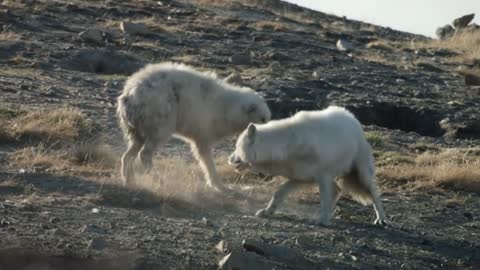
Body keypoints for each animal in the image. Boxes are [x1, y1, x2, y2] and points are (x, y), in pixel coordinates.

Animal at [117, 62, 270, 191]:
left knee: (129, 152)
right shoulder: (205, 128)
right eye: (262, 119)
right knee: (146, 151)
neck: (227, 107)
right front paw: (220, 186)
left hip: (136, 125)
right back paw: (159, 179)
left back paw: (129, 179)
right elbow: (206, 157)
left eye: (267, 119)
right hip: (159, 114)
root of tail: (129, 94)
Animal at [228, 105, 386, 226]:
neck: (286, 146)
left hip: (361, 174)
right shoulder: (300, 178)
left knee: (374, 193)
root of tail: (352, 118)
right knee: (338, 191)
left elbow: (324, 200)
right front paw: (267, 211)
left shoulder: (323, 177)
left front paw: (322, 221)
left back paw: (381, 219)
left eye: (236, 147)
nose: (229, 159)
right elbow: (278, 193)